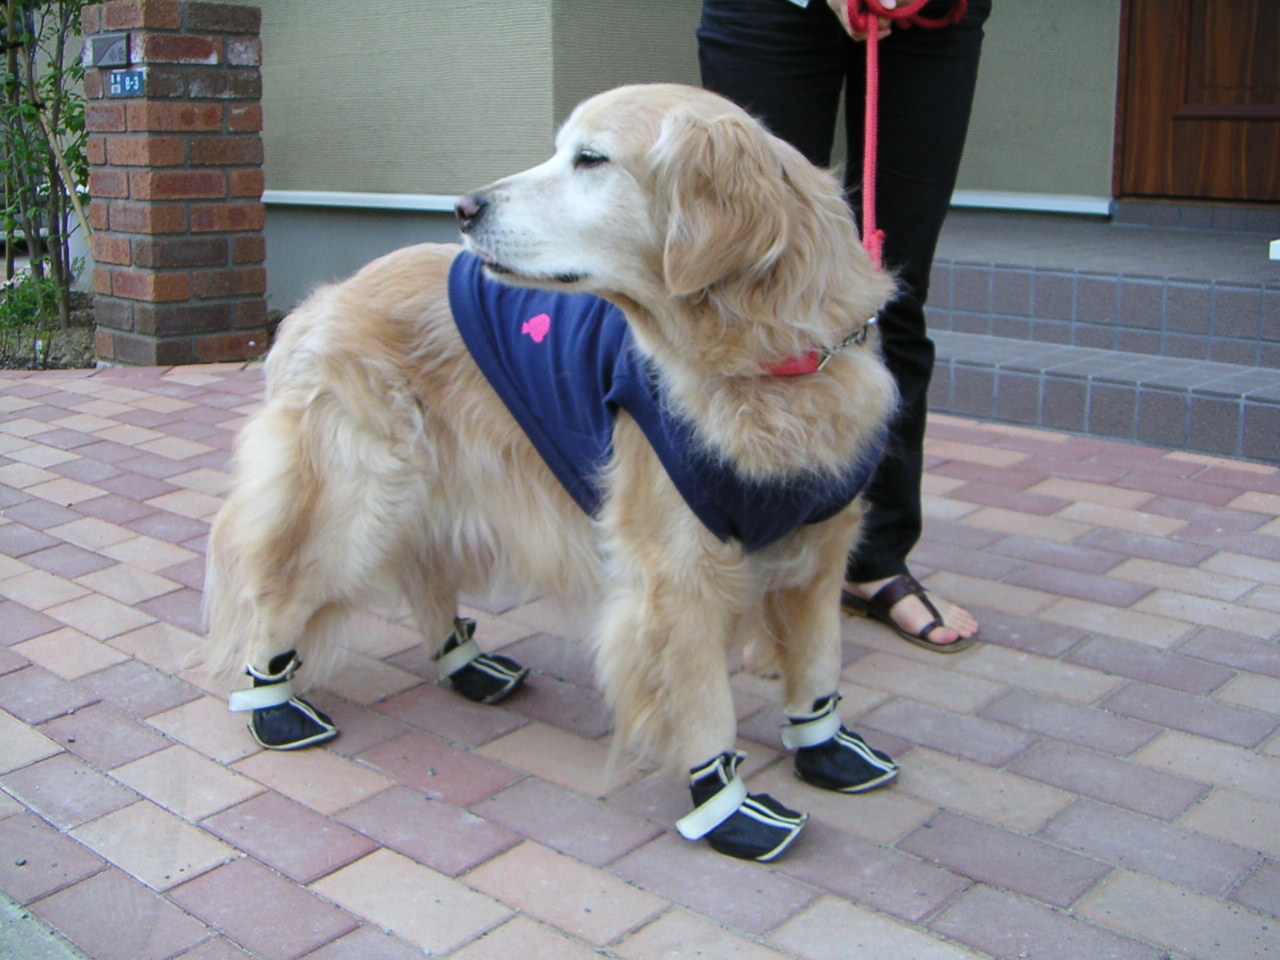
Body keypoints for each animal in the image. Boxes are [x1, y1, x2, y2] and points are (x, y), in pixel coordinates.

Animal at [204, 83, 899, 862]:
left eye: (590, 159)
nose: (463, 207)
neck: (767, 361)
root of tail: (320, 302)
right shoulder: (677, 576)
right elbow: (702, 705)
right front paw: (728, 808)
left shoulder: (820, 551)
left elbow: (819, 666)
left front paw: (828, 749)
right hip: (356, 504)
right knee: (276, 594)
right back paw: (272, 705)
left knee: (424, 577)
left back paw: (464, 663)